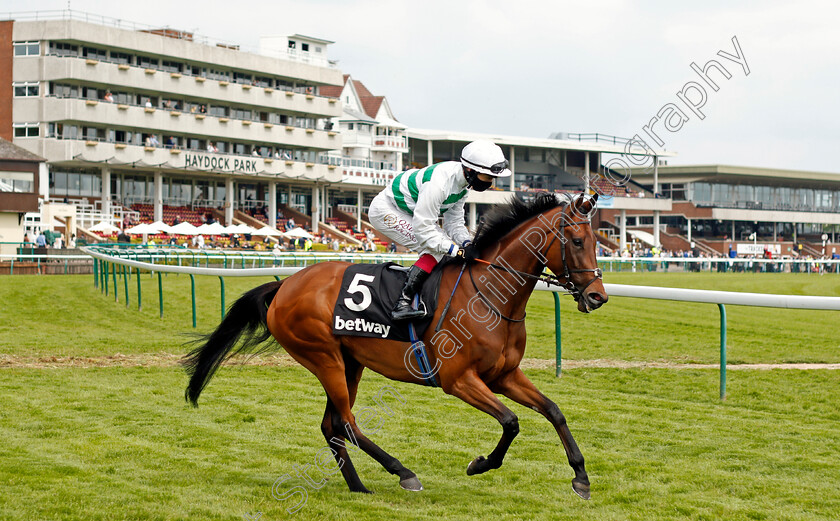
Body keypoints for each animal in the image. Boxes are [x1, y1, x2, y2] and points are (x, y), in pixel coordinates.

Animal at [184, 192, 608, 500]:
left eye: (597, 243)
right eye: (576, 241)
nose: (598, 297)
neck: (490, 296)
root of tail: (285, 284)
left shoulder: (504, 375)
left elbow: (553, 411)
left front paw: (581, 478)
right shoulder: (458, 379)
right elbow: (511, 421)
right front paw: (480, 463)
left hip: (349, 362)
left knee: (332, 425)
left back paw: (358, 486)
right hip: (323, 357)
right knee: (347, 422)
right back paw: (403, 473)